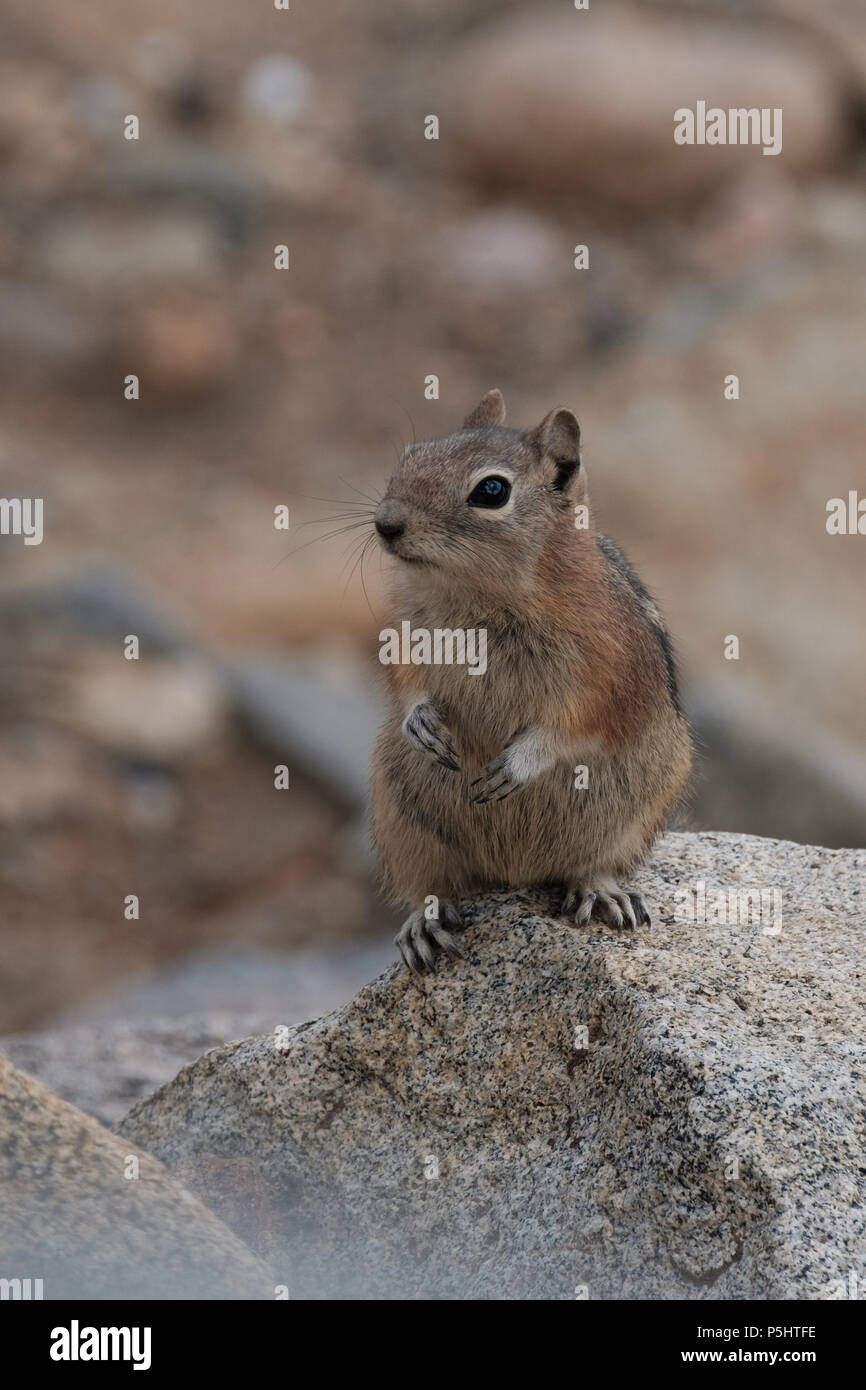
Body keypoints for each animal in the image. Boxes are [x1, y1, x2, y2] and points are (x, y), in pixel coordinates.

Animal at [370, 389, 693, 972]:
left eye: (492, 490)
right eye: (408, 456)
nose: (386, 523)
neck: (478, 598)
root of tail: (513, 875)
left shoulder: (613, 671)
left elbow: (579, 724)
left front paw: (520, 762)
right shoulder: (402, 634)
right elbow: (403, 682)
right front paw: (421, 722)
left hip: (636, 813)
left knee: (594, 862)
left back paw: (601, 890)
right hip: (400, 818)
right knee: (430, 884)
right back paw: (424, 923)